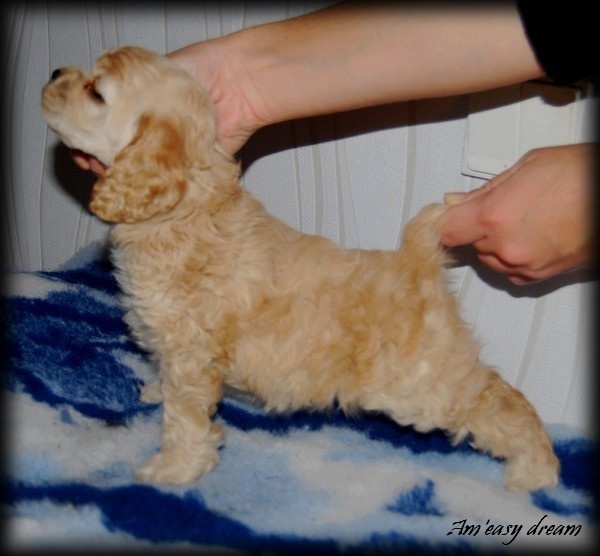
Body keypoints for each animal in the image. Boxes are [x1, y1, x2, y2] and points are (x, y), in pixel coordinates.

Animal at [42, 46, 559, 491]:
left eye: (96, 91)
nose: (52, 73)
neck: (185, 205)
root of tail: (419, 260)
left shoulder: (191, 353)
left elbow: (184, 421)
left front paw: (173, 469)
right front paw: (155, 390)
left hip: (424, 384)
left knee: (499, 400)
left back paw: (535, 470)